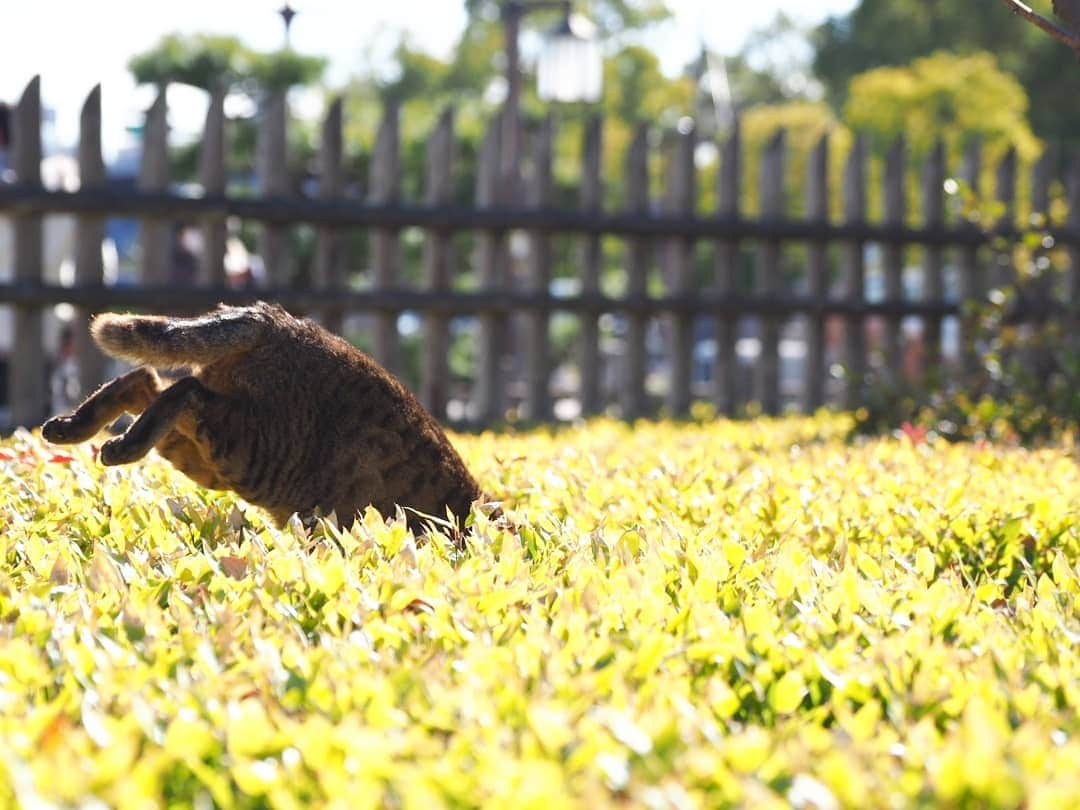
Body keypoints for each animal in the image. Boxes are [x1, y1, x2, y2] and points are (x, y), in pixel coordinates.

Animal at [39, 302, 483, 533]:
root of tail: (273, 321)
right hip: (252, 450)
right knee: (184, 391)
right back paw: (120, 445)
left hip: (206, 454)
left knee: (145, 381)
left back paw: (72, 428)